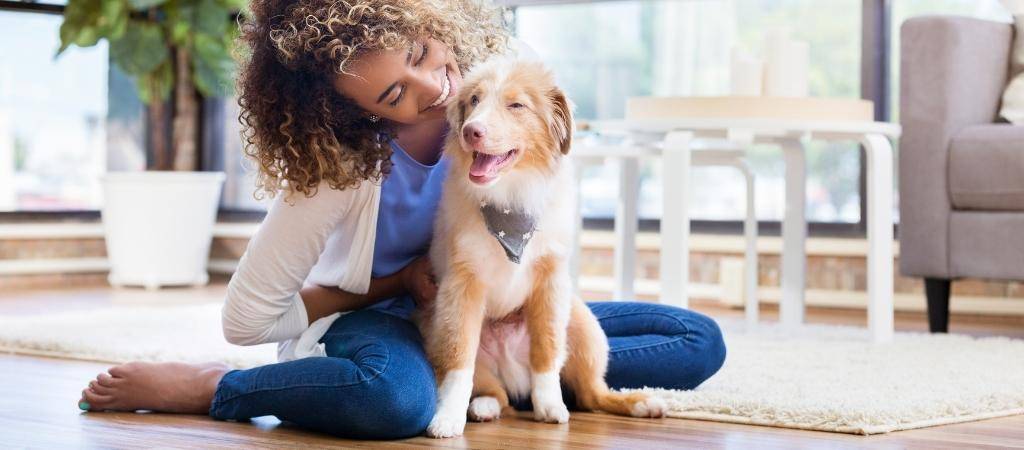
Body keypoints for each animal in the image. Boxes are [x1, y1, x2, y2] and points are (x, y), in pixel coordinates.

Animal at [421, 57, 667, 440]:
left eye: (516, 105)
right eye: (474, 100)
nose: (471, 131)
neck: (511, 198)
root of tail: (510, 369)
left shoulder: (551, 281)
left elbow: (547, 350)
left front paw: (550, 406)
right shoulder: (461, 285)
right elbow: (459, 360)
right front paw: (447, 417)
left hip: (583, 325)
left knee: (592, 394)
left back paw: (643, 402)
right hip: (436, 329)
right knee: (496, 392)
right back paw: (482, 407)